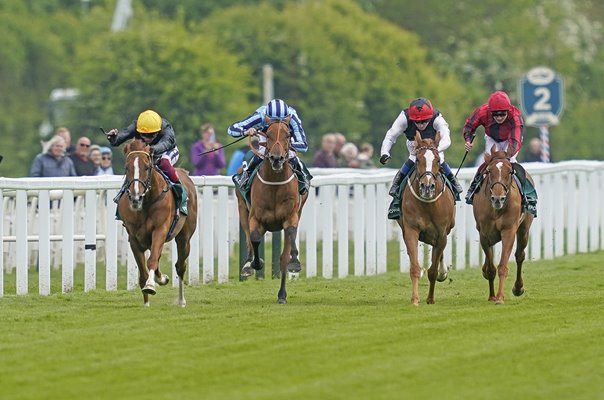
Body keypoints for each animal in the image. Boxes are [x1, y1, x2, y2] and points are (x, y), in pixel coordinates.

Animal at [119, 140, 198, 306]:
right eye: (127, 167)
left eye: (147, 167)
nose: (135, 198)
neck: (147, 202)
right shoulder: (134, 238)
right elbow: (143, 272)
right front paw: (146, 302)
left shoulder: (160, 230)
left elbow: (152, 261)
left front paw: (150, 286)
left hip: (184, 237)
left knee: (180, 266)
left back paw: (181, 300)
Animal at [236, 115, 310, 304]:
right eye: (267, 135)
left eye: (288, 135)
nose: (277, 158)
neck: (275, 185)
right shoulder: (255, 218)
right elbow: (254, 238)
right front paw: (255, 263)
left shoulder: (291, 217)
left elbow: (288, 243)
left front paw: (294, 263)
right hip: (242, 208)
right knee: (247, 238)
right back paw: (248, 264)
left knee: (286, 253)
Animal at [398, 131, 456, 304]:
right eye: (418, 160)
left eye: (437, 160)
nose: (427, 187)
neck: (428, 205)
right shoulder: (411, 229)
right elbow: (414, 267)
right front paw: (415, 299)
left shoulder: (441, 234)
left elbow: (433, 271)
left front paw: (430, 298)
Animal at [472, 145, 532, 304]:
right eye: (488, 171)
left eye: (510, 171)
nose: (498, 198)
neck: (496, 210)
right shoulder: (484, 234)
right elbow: (490, 268)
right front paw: (492, 295)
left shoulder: (509, 231)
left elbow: (502, 266)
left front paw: (499, 297)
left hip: (524, 230)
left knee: (520, 255)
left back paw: (518, 288)